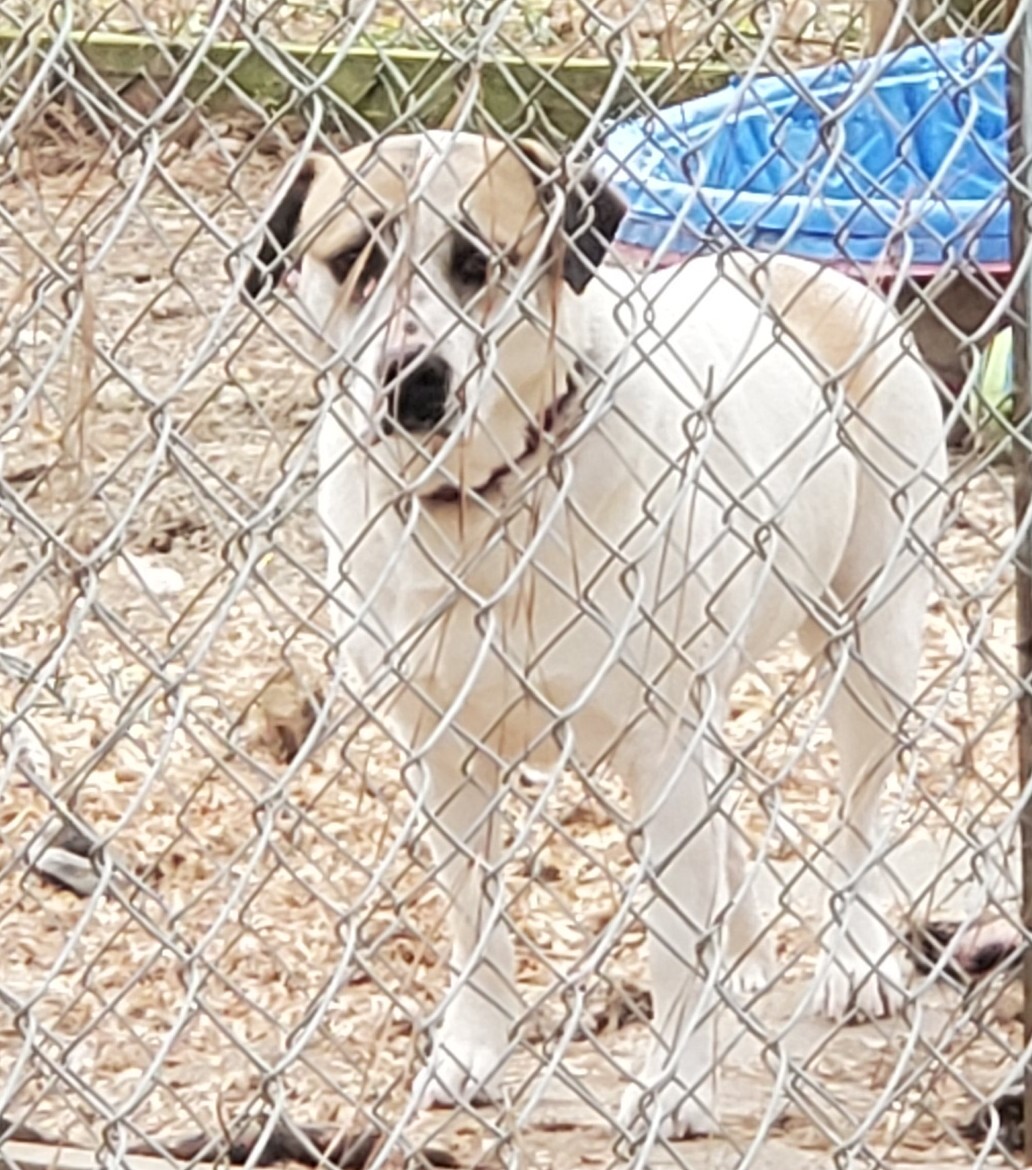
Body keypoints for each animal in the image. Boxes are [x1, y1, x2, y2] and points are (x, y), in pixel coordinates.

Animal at [245, 130, 945, 1141]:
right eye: (354, 261)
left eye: (476, 263)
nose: (414, 377)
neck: (487, 506)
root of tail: (811, 276)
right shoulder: (446, 756)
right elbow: (476, 917)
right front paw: (473, 1050)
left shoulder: (665, 745)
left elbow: (671, 937)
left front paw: (677, 1084)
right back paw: (748, 954)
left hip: (870, 643)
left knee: (857, 816)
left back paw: (856, 959)